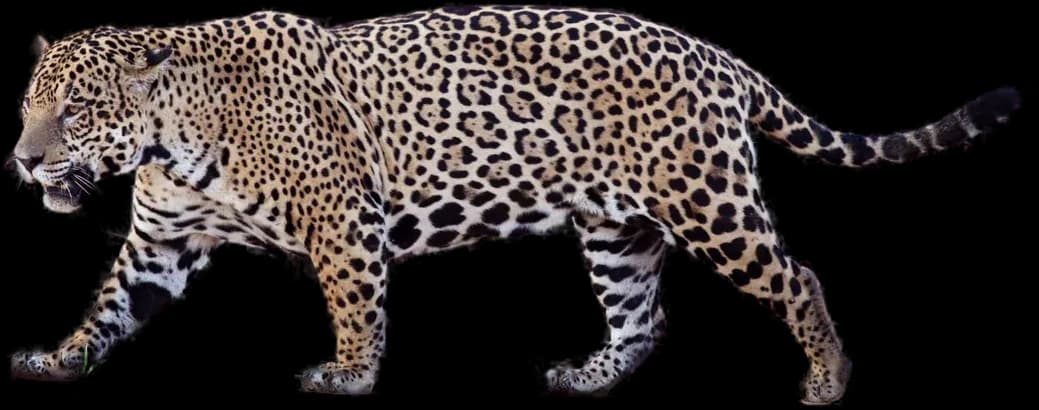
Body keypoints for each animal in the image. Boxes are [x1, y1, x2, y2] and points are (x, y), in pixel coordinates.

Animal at [7, 5, 1021, 405]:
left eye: (75, 111)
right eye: (26, 108)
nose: (20, 160)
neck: (173, 134)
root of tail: (720, 58)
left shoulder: (344, 222)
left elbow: (356, 307)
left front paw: (349, 375)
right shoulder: (158, 243)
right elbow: (107, 309)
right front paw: (56, 360)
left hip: (709, 202)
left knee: (798, 276)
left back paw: (826, 380)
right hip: (617, 228)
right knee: (641, 317)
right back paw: (588, 375)